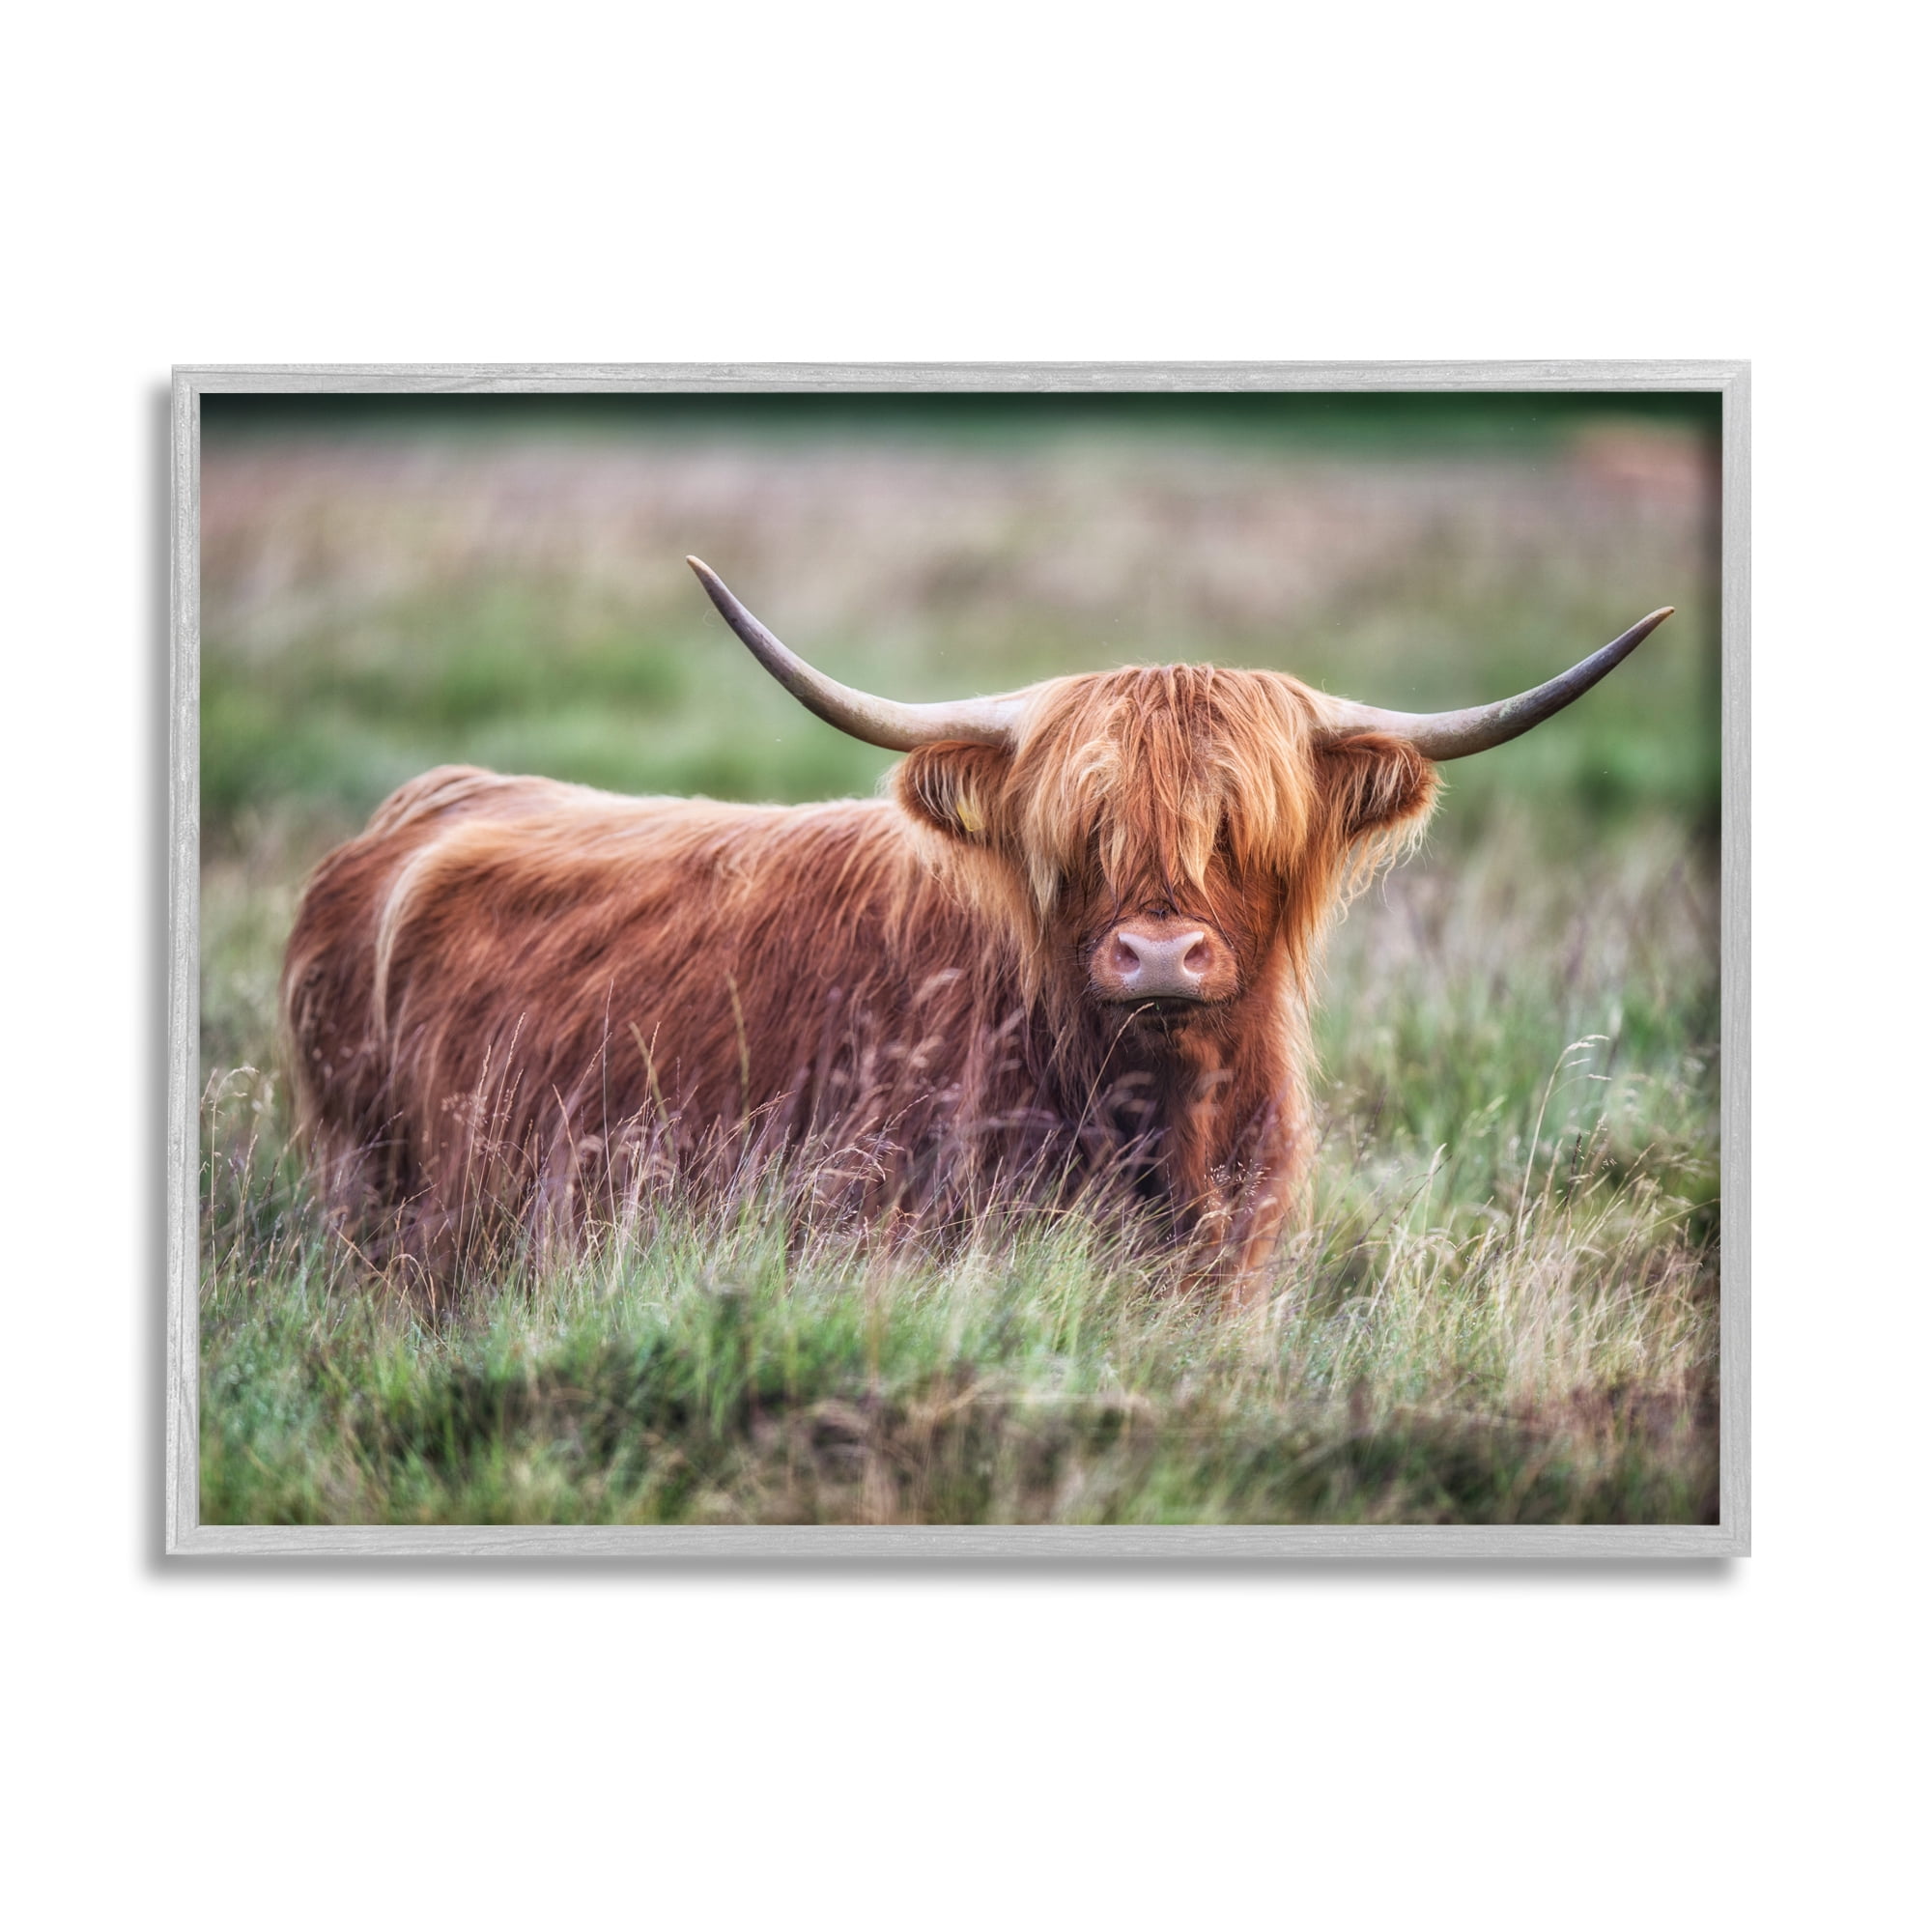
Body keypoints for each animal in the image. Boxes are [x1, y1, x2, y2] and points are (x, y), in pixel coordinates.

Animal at [280, 558, 1671, 1290]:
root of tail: (433, 801)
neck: (1154, 1117)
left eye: (1239, 827)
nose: (1156, 955)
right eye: (1081, 830)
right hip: (375, 1198)